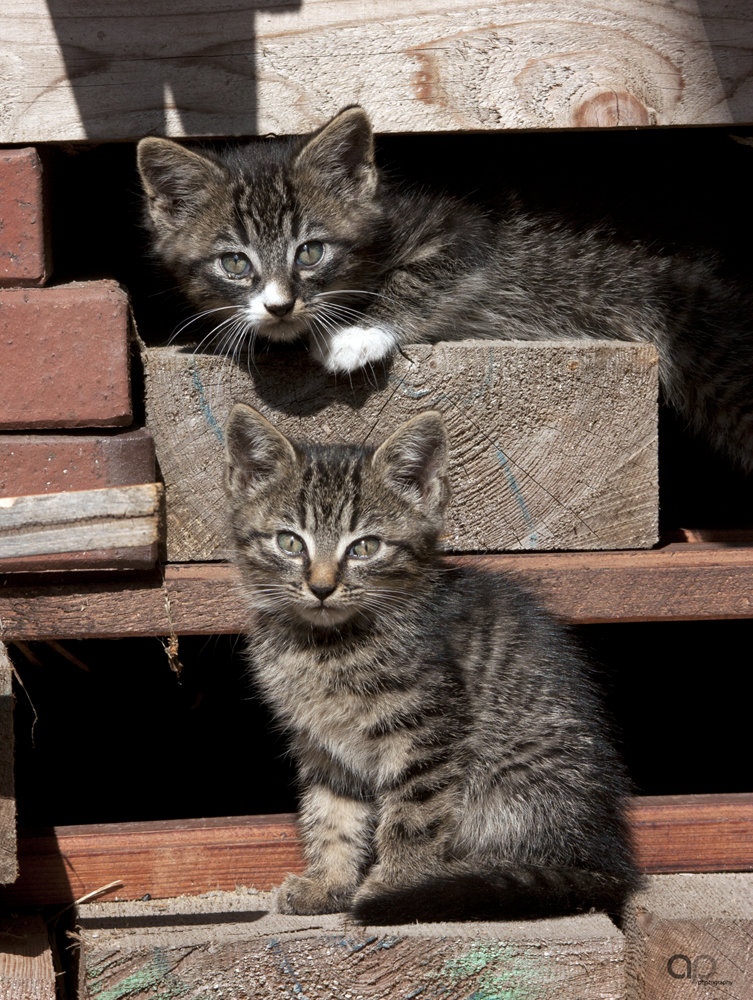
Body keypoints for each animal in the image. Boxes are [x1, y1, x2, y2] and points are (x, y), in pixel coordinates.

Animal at [140, 105, 752, 472]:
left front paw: (357, 332)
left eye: (310, 252)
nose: (279, 304)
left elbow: (418, 276)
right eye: (235, 263)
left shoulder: (466, 232)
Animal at [225, 402, 640, 916]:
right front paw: (328, 884)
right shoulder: (323, 744)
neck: (324, 645)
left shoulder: (427, 728)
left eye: (365, 547)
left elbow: (413, 815)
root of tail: (607, 862)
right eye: (289, 542)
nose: (321, 587)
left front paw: (394, 886)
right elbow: (332, 815)